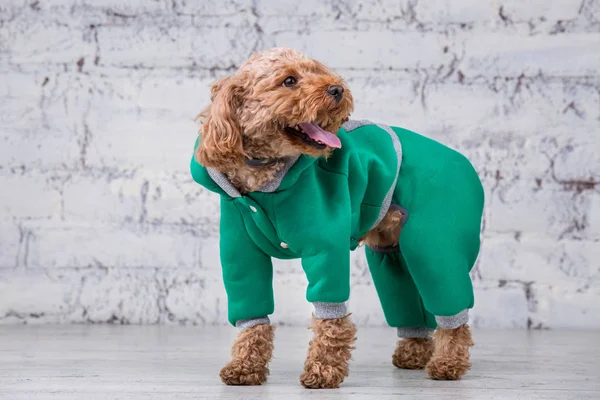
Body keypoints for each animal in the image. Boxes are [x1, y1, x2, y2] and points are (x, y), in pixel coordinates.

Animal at [195, 47, 476, 388]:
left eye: (317, 70)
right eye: (289, 81)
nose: (337, 89)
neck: (267, 175)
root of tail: (465, 163)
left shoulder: (326, 247)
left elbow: (330, 317)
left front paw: (323, 369)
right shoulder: (241, 254)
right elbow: (251, 313)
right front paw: (245, 366)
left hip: (433, 245)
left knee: (453, 315)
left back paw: (448, 363)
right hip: (391, 253)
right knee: (409, 301)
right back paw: (413, 353)